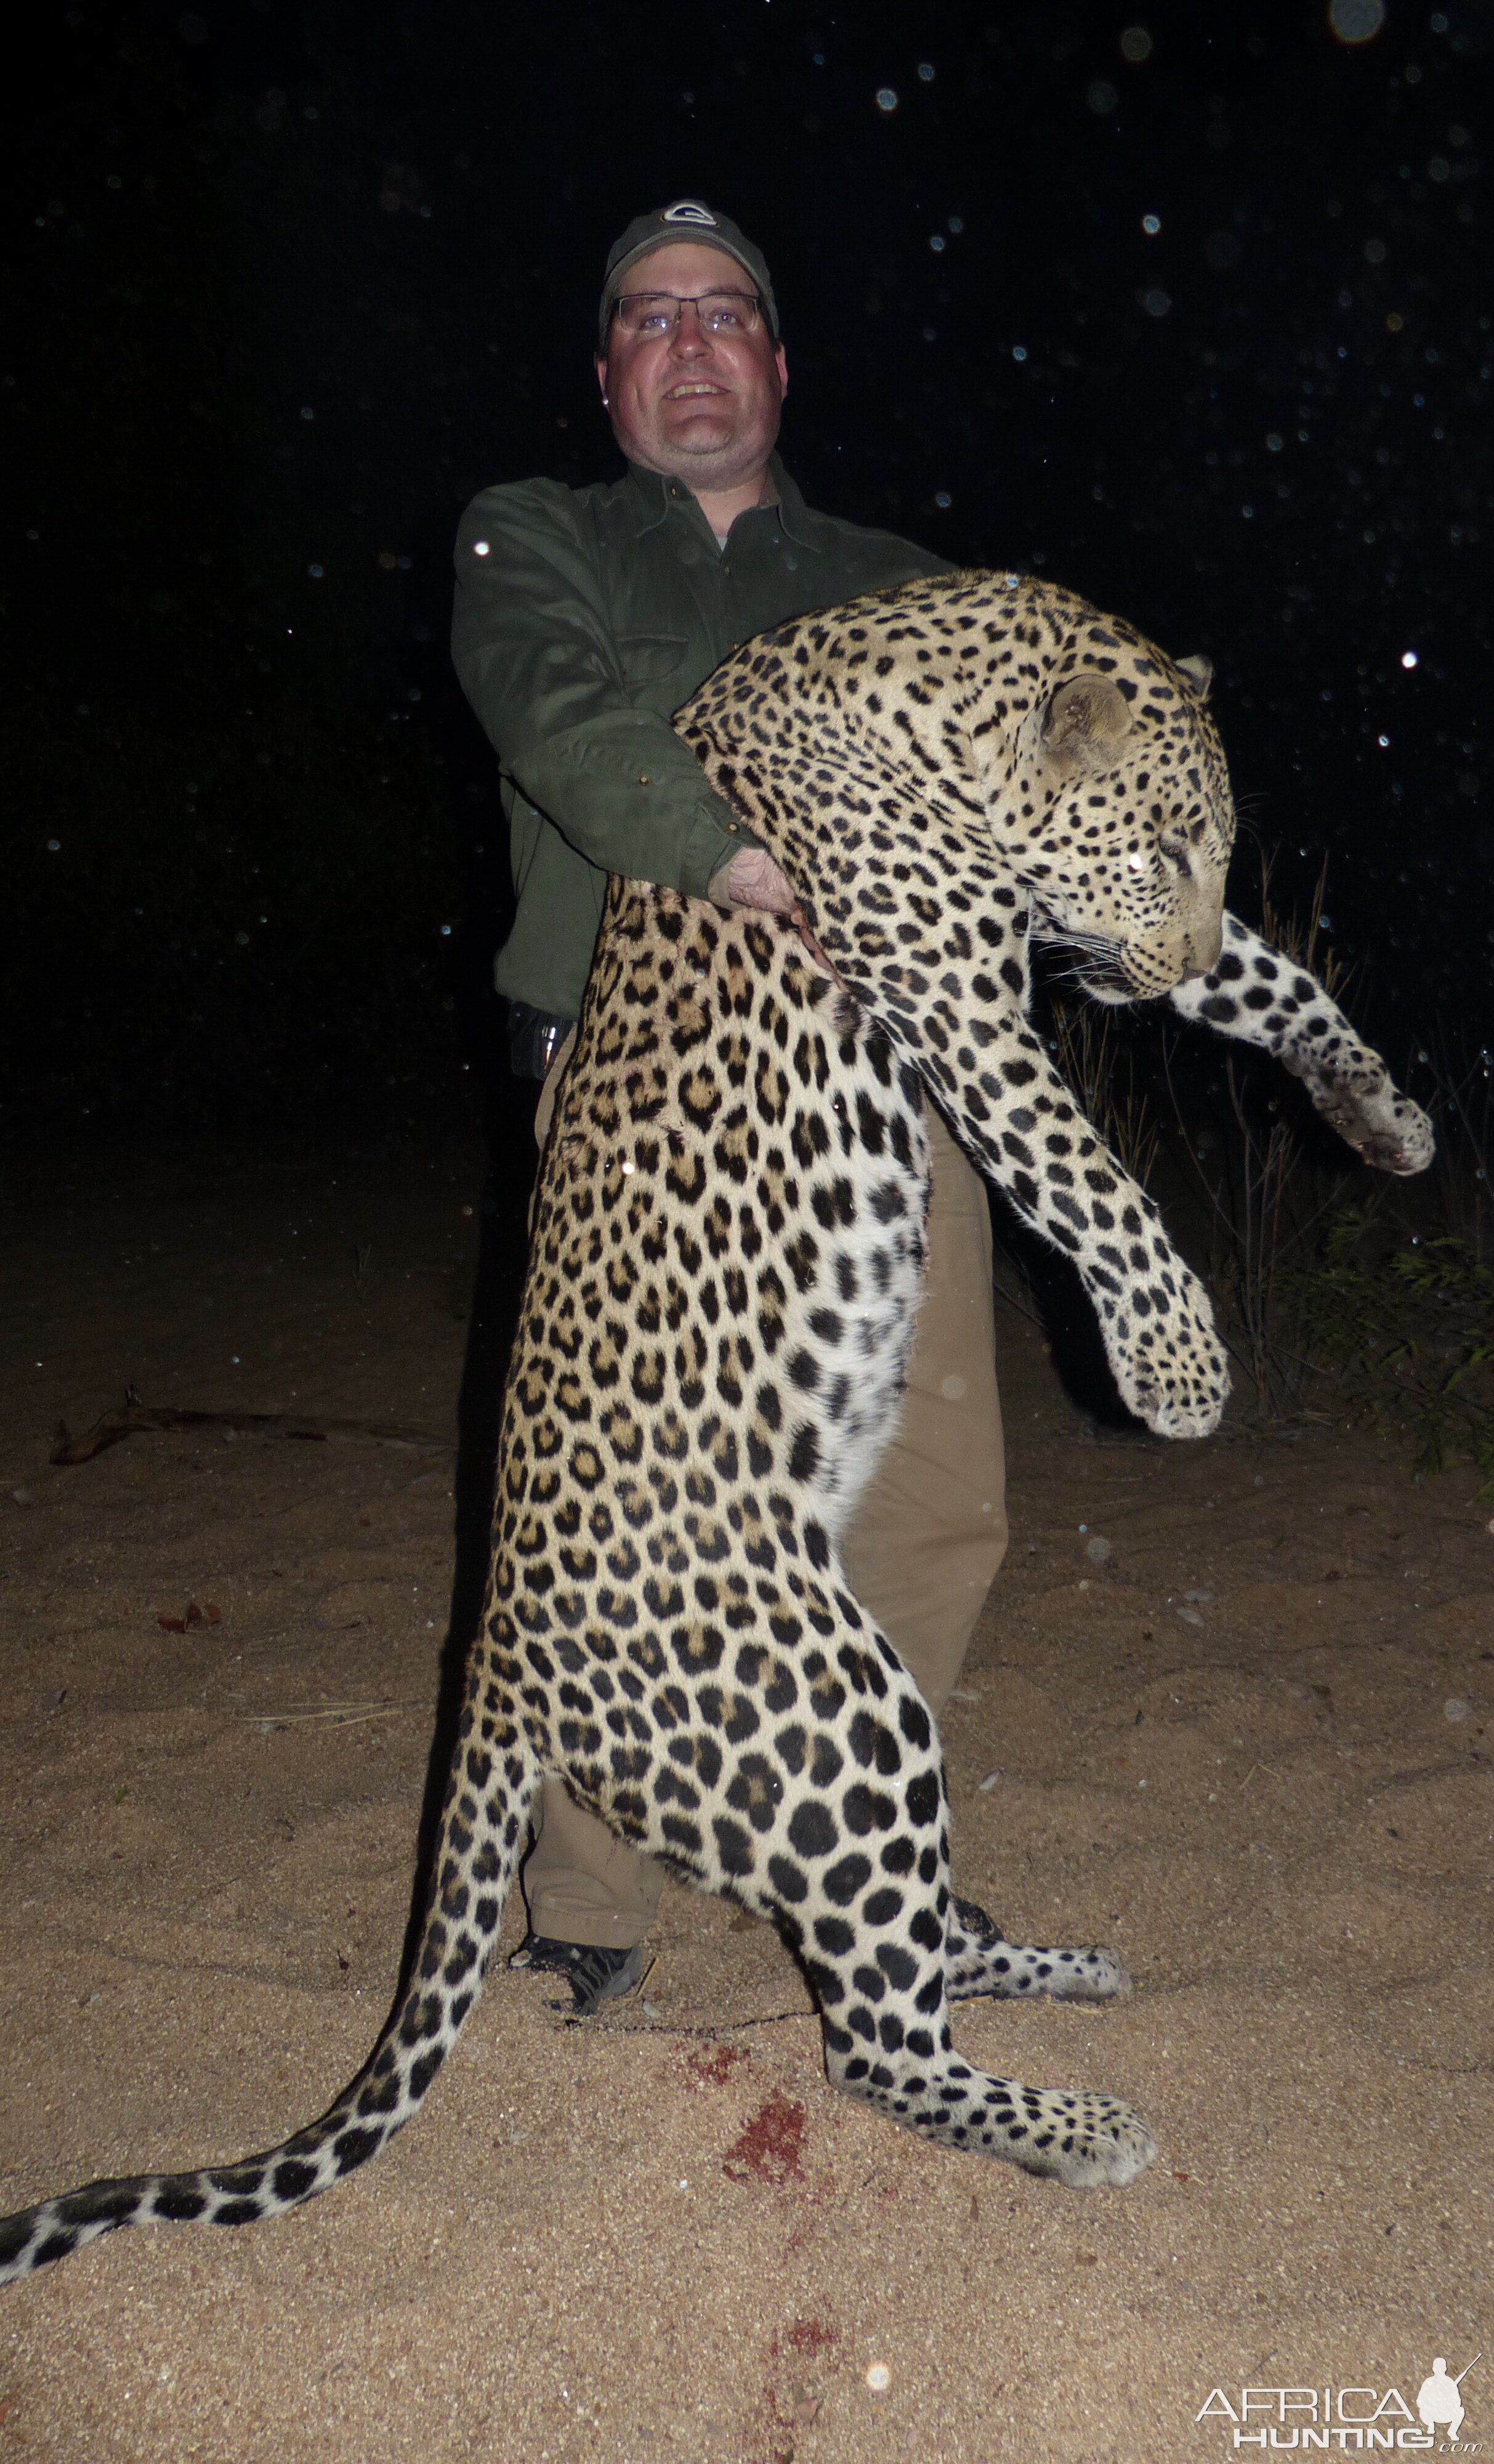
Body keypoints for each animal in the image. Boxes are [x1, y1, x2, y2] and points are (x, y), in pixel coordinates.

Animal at [0, 567, 1439, 2277]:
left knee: (902, 1956)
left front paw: (1381, 1114)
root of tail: (499, 1650)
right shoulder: (957, 997)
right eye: (1160, 845)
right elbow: (1086, 1172)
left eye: (1213, 852)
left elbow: (1278, 980)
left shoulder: (1036, 932)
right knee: (869, 2042)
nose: (1152, 972)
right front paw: (1175, 1367)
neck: (929, 701)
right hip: (843, 1703)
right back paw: (1077, 2120)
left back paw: (1054, 1963)